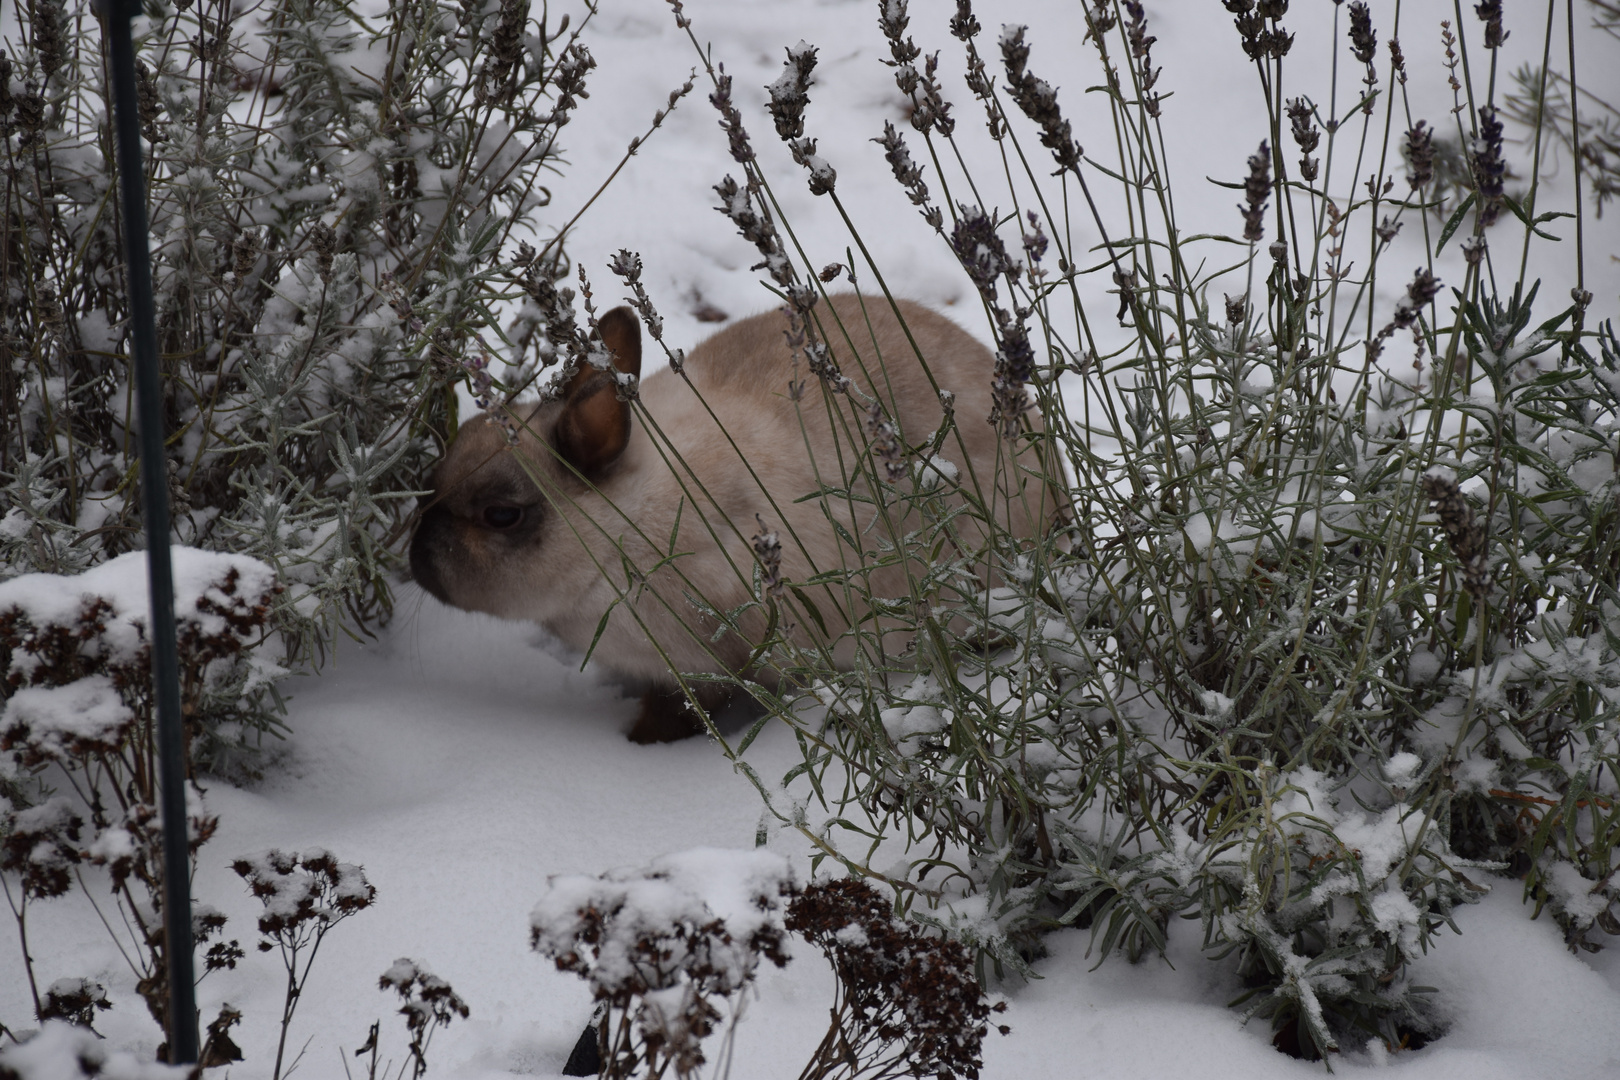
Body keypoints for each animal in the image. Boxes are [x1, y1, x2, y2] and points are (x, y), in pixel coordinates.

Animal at [411, 296, 1056, 744]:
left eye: (502, 515)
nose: (415, 558)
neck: (623, 530)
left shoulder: (712, 665)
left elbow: (689, 709)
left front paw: (640, 742)